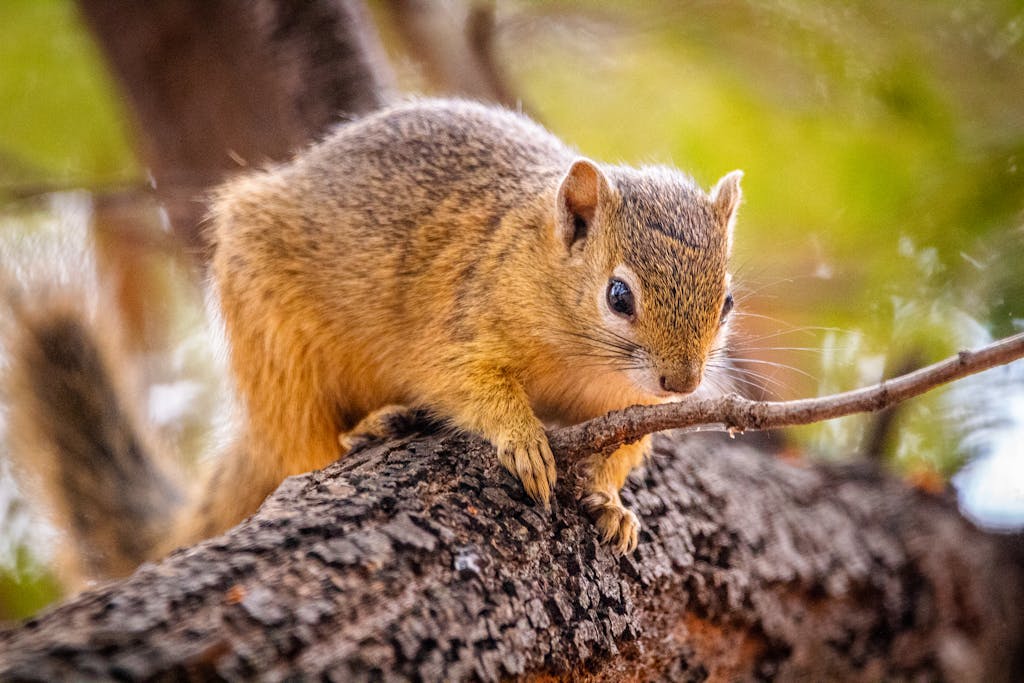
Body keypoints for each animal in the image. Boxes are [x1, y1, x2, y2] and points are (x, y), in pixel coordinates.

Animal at [4, 98, 741, 582]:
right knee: (303, 442)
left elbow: (623, 449)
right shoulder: (460, 323)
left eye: (727, 301)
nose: (682, 383)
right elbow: (468, 384)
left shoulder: (624, 407)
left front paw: (611, 503)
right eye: (619, 296)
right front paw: (522, 438)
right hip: (277, 344)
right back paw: (363, 430)